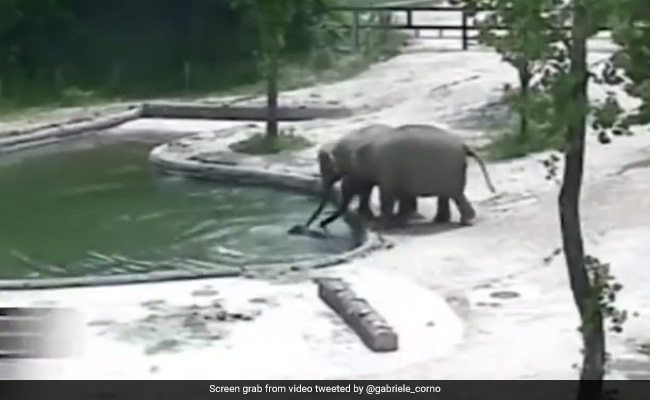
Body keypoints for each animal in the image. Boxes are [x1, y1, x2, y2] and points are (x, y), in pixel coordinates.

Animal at [319, 124, 496, 229]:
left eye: (347, 185)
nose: (322, 224)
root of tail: (463, 145)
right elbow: (399, 196)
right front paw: (398, 221)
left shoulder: (387, 171)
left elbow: (387, 197)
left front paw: (384, 224)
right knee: (450, 195)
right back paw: (443, 220)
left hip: (449, 171)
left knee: (455, 195)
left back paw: (465, 221)